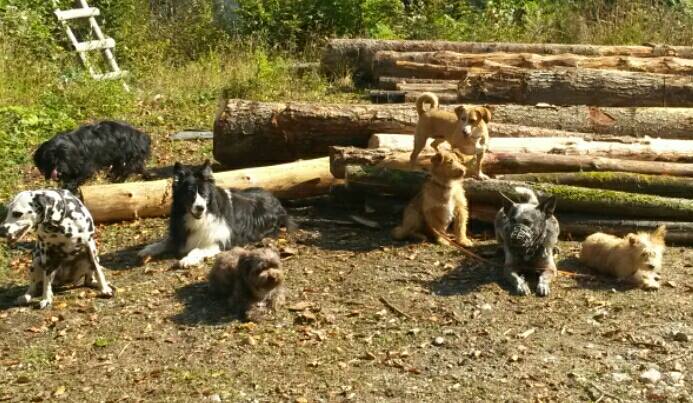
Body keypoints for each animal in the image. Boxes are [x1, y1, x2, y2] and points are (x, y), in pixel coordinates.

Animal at [138, 160, 292, 268]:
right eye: (189, 194)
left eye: (204, 194)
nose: (200, 208)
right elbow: (166, 241)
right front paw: (147, 249)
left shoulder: (219, 242)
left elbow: (197, 250)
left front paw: (187, 260)